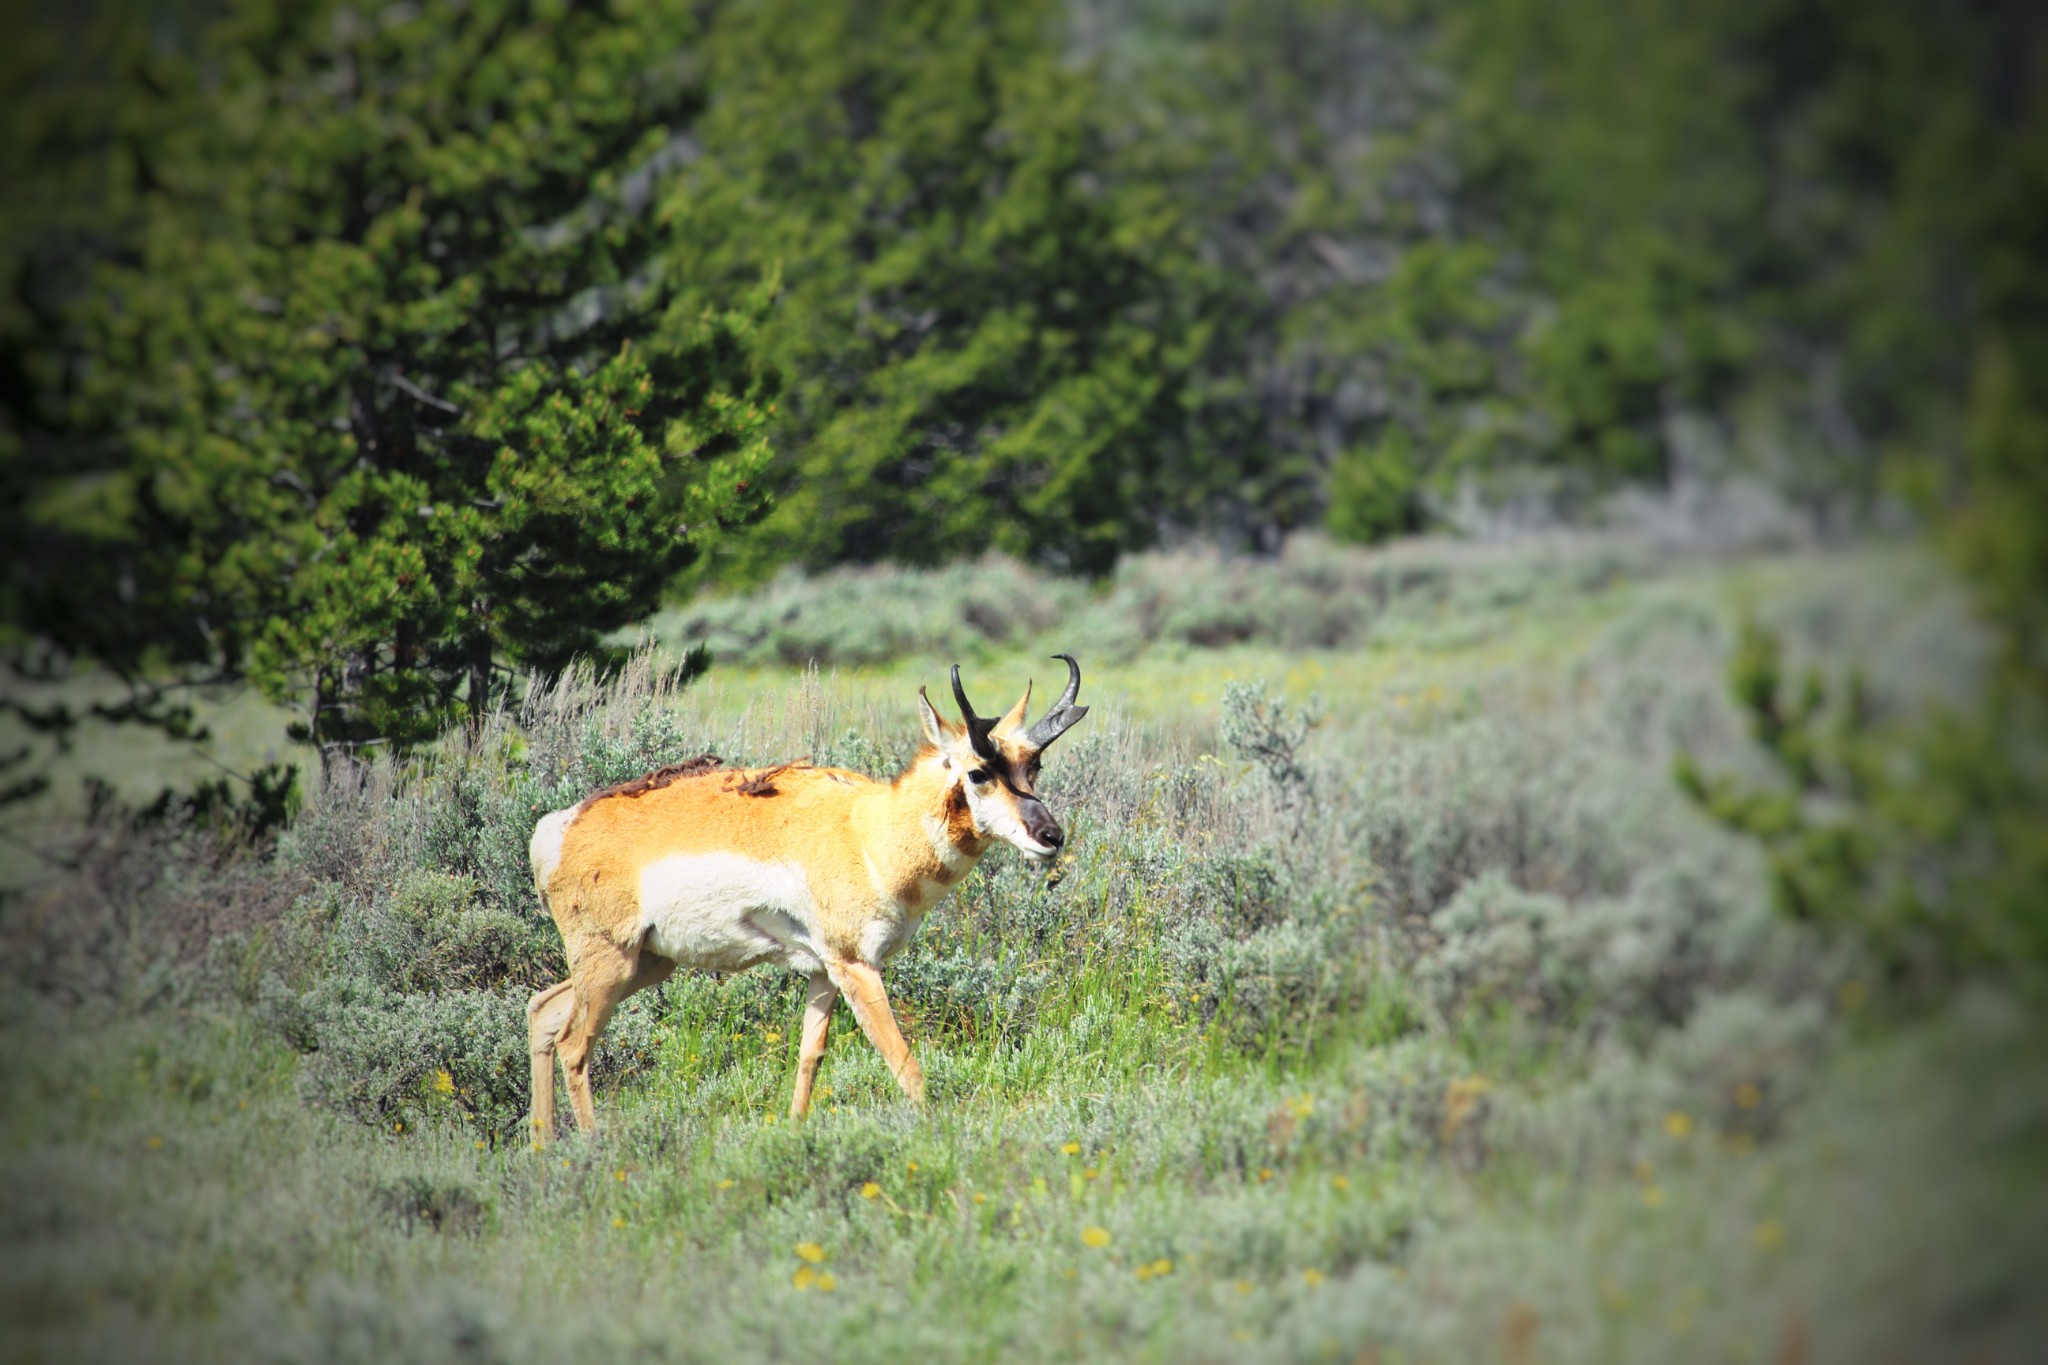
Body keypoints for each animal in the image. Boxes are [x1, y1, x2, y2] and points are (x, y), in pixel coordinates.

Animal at [528, 654, 1089, 1137]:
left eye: (1033, 767)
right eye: (978, 772)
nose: (1051, 836)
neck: (866, 832)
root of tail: (557, 828)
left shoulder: (823, 969)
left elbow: (809, 1056)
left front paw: (796, 1133)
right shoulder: (857, 965)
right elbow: (903, 1062)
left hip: (645, 963)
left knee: (544, 1012)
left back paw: (544, 1145)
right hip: (611, 961)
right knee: (575, 1045)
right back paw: (591, 1146)